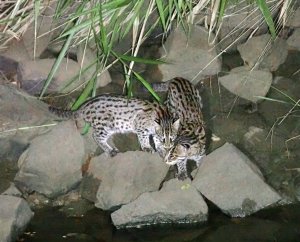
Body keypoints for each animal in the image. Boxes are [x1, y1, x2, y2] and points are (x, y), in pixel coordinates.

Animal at [49, 94, 179, 157]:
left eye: (172, 139)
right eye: (164, 139)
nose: (168, 147)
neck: (164, 116)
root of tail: (83, 106)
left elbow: (155, 139)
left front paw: (161, 149)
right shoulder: (140, 127)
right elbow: (144, 139)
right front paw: (147, 147)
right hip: (106, 124)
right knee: (96, 136)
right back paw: (109, 150)